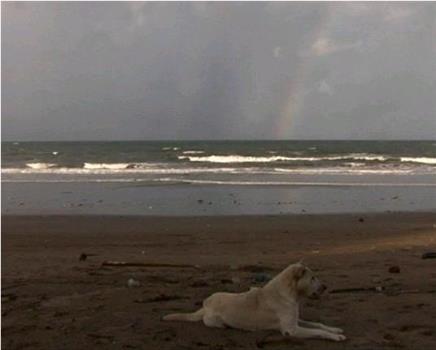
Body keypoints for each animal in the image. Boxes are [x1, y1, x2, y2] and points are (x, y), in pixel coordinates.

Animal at [162, 262, 346, 342]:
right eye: (313, 278)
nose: (325, 287)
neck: (288, 292)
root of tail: (205, 304)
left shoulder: (296, 319)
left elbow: (318, 324)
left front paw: (335, 329)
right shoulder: (291, 330)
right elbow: (317, 331)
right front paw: (335, 336)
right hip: (214, 319)